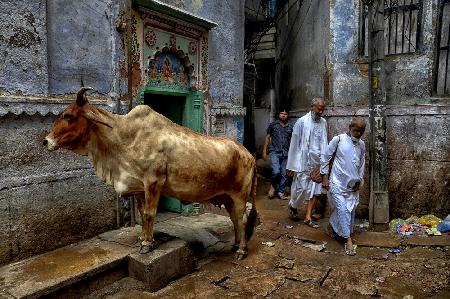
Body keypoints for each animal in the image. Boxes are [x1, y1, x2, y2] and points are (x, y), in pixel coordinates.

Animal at [44, 86, 260, 260]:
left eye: (69, 115)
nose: (46, 141)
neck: (122, 139)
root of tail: (248, 154)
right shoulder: (140, 188)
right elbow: (141, 213)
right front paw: (142, 237)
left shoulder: (153, 183)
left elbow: (149, 214)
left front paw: (147, 244)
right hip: (228, 198)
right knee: (235, 219)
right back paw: (235, 245)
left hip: (239, 195)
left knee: (242, 219)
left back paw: (242, 250)